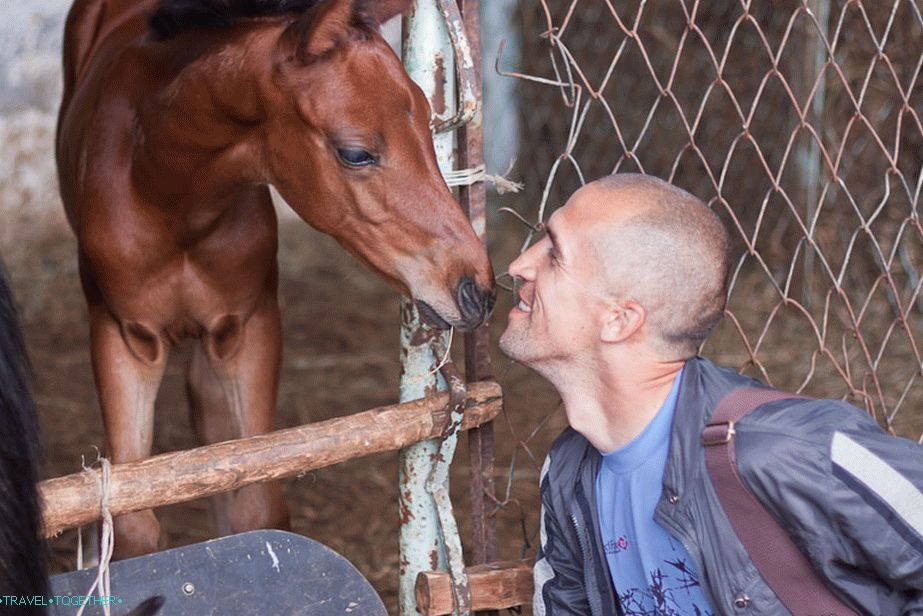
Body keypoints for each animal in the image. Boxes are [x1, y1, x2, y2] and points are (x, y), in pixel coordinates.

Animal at [56, 0, 498, 560]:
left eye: (425, 119)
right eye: (355, 152)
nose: (477, 289)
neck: (168, 192)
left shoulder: (249, 327)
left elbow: (256, 501)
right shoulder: (123, 337)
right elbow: (132, 520)